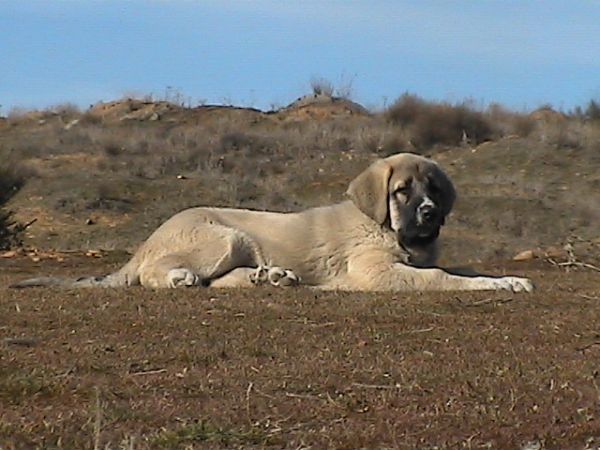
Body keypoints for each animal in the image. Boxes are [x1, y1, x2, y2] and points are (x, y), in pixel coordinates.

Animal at [10, 151, 536, 292]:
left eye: (434, 190)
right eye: (402, 190)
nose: (428, 213)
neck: (390, 229)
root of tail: (149, 238)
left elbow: (462, 269)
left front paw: (508, 279)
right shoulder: (376, 271)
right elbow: (444, 277)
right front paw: (493, 285)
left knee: (221, 281)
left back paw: (272, 276)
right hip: (223, 235)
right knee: (158, 274)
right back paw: (178, 277)